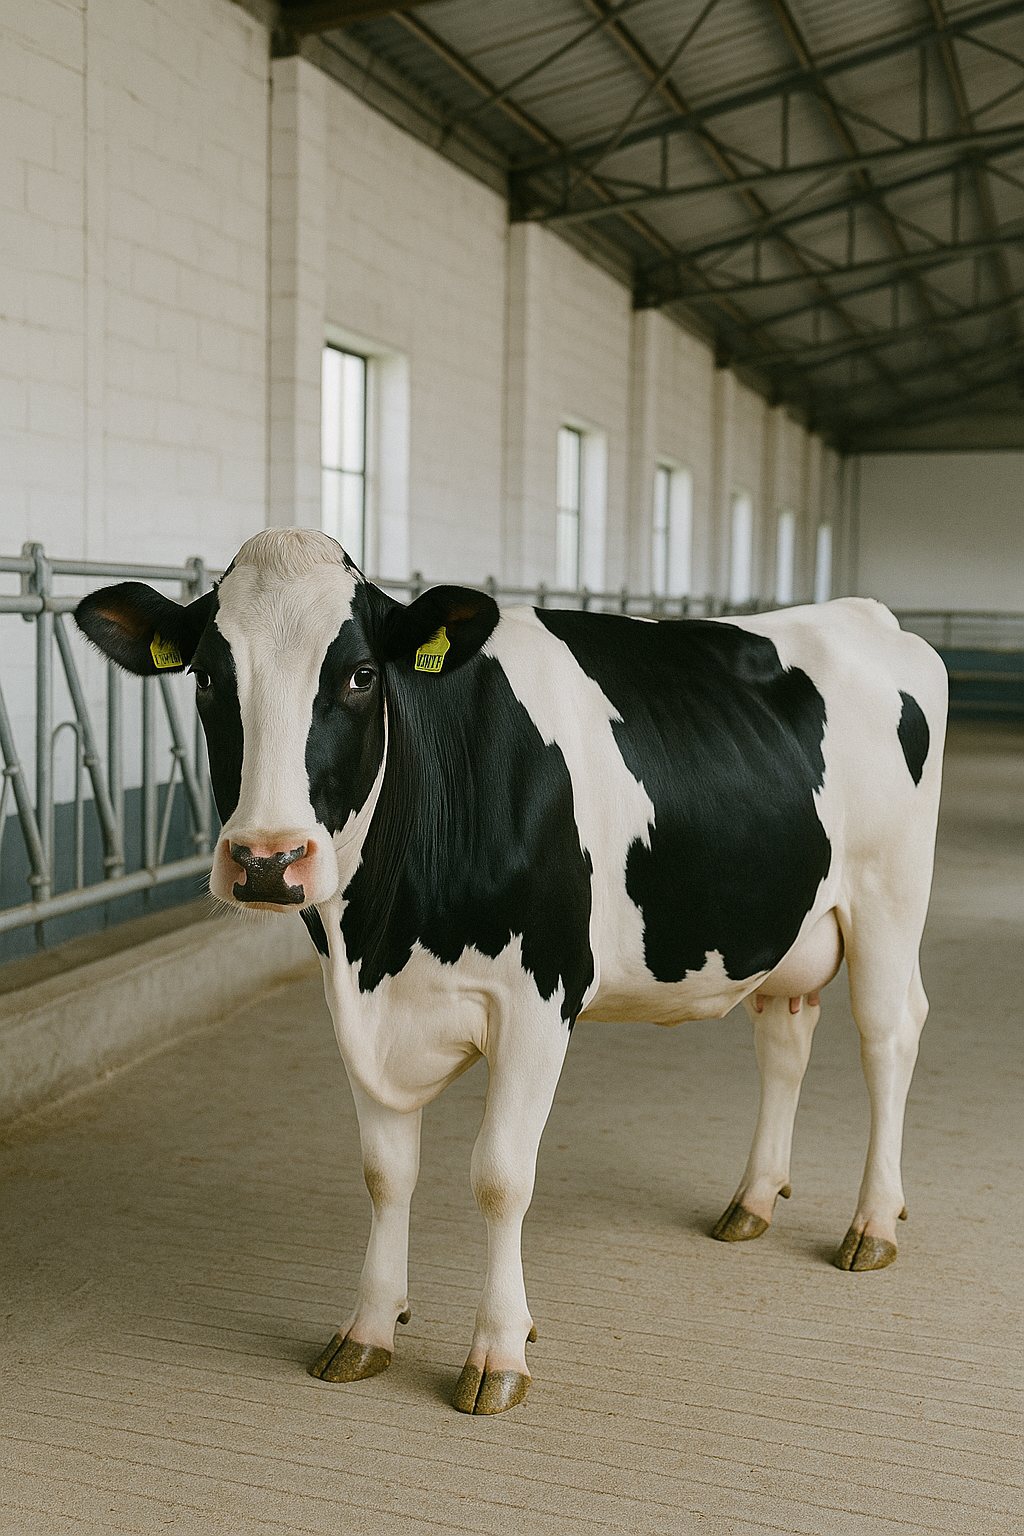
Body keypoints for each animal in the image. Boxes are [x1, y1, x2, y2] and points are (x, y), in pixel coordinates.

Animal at [76, 527, 947, 1416]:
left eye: (360, 675)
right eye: (206, 677)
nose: (266, 861)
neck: (386, 935)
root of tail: (865, 614)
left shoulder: (539, 998)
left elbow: (499, 1176)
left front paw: (497, 1353)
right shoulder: (358, 1004)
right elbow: (385, 1173)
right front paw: (367, 1330)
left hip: (888, 895)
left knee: (888, 1037)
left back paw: (872, 1224)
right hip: (782, 925)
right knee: (786, 1039)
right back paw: (754, 1200)